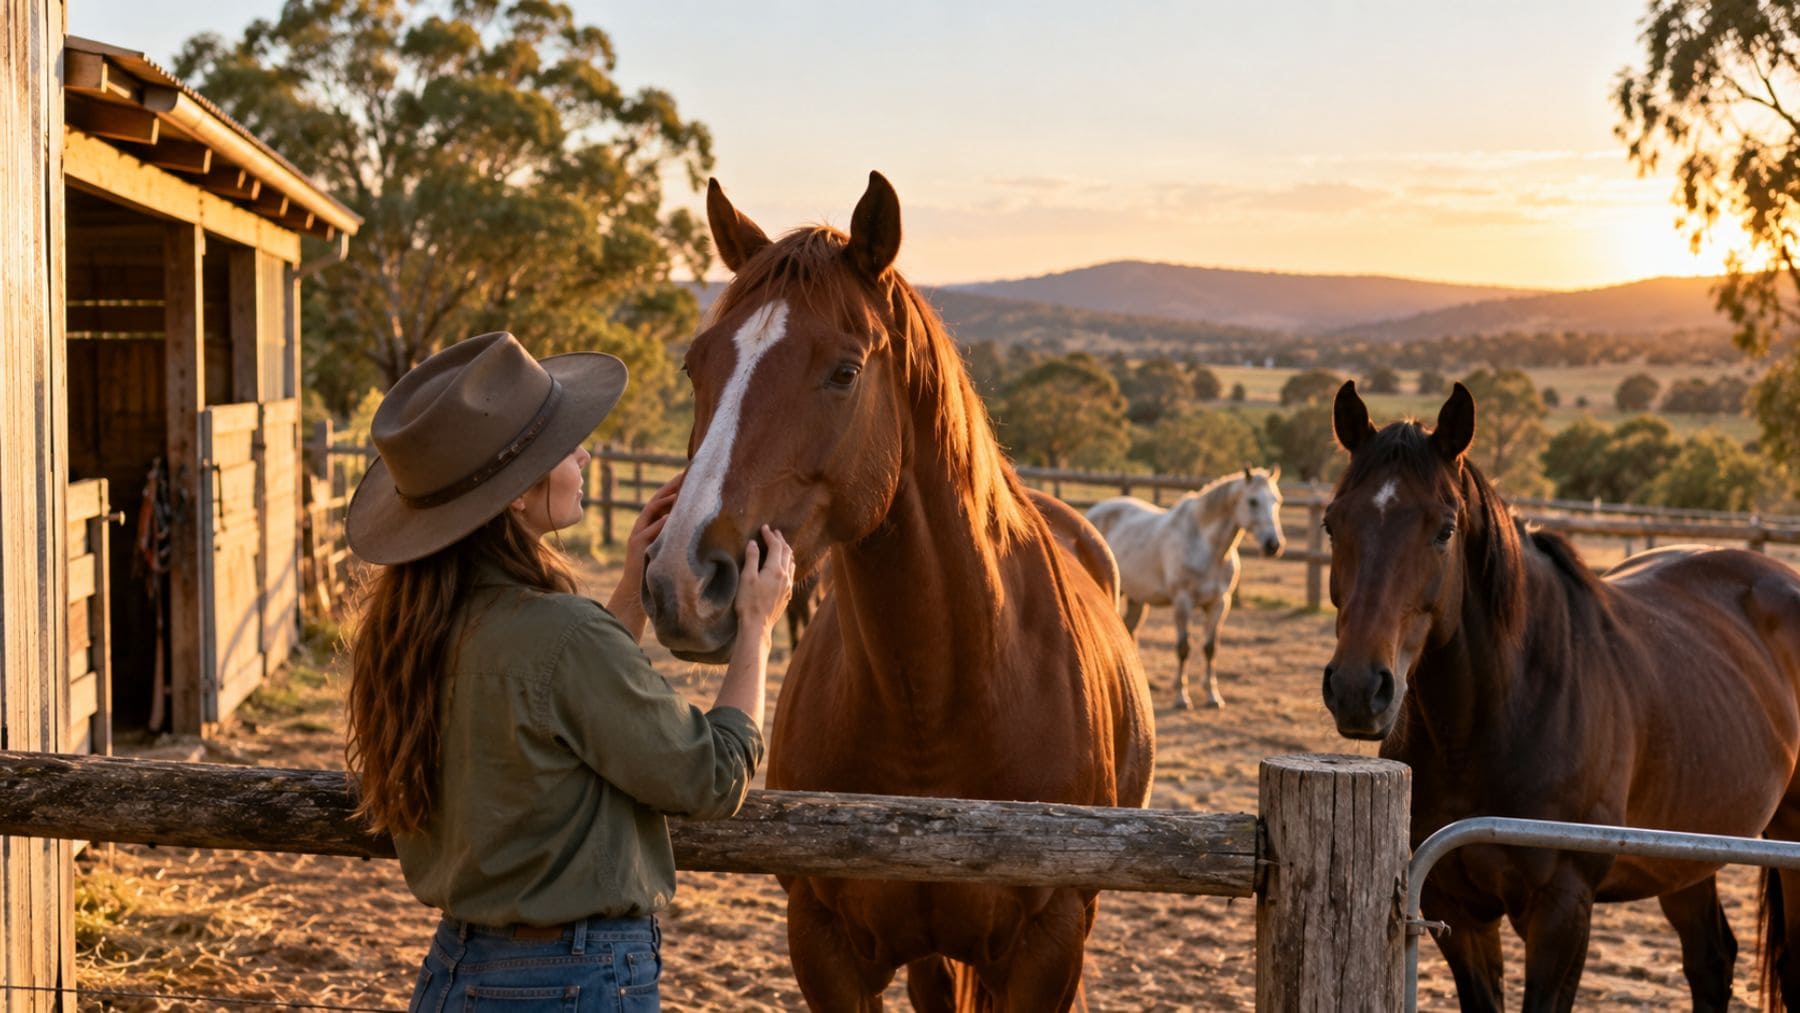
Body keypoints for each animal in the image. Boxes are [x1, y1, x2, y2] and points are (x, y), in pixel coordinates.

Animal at [641, 172, 1155, 1011]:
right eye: (696, 364)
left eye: (845, 371)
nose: (682, 577)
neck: (939, 706)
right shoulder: (824, 943)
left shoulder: (1047, 947)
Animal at [1086, 466, 1285, 709]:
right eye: (1253, 501)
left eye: (1277, 500)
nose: (1273, 545)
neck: (1207, 547)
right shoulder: (1183, 601)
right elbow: (1184, 647)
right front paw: (1181, 696)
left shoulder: (1220, 603)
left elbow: (1210, 648)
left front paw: (1212, 695)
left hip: (1136, 599)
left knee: (1128, 632)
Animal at [1321, 379, 1800, 1012]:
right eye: (1332, 524)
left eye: (1444, 529)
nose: (1357, 688)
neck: (1498, 718)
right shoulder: (1457, 910)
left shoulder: (1562, 911)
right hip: (1684, 855)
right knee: (1711, 961)